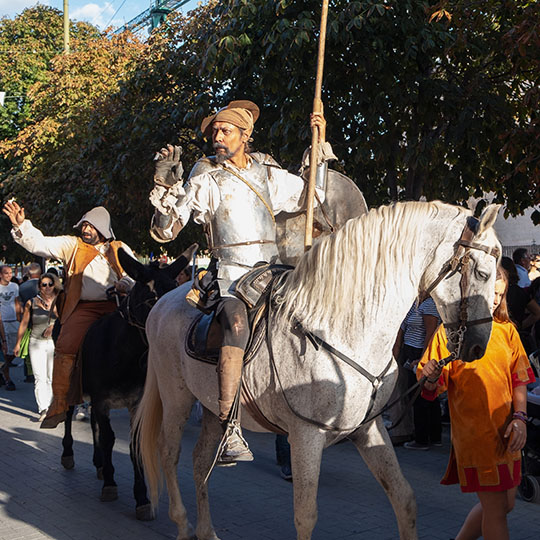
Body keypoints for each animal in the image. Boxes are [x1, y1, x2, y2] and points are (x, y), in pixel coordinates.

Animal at [135, 201, 502, 540]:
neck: (340, 328)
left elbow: (404, 498)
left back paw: (207, 529)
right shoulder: (305, 435)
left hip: (213, 408)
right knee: (169, 453)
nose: (477, 347)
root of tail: (164, 300)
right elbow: (305, 515)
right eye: (482, 273)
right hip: (177, 398)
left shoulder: (368, 429)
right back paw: (183, 524)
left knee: (199, 462)